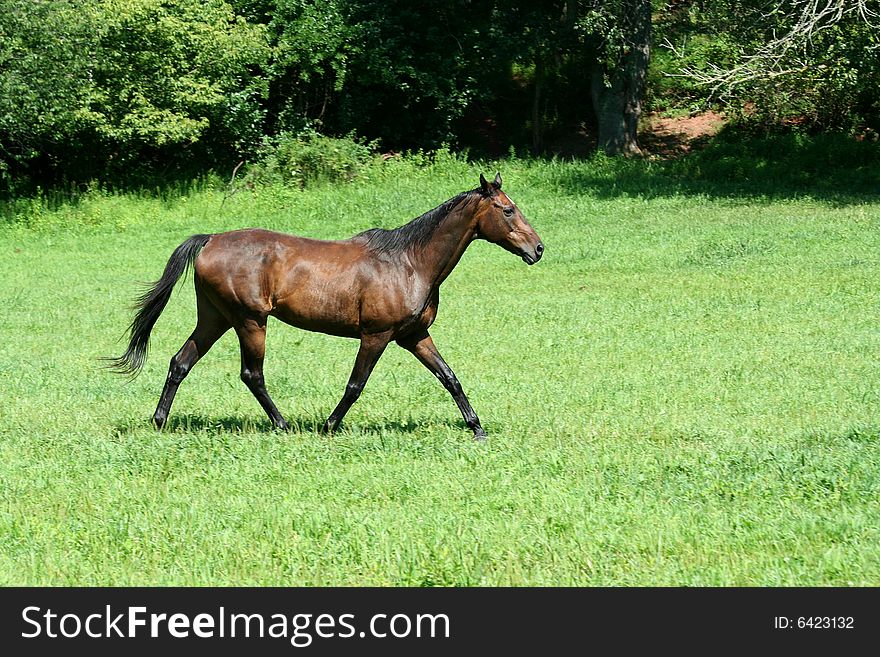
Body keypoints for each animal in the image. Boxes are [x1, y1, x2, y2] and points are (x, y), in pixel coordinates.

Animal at [110, 174, 544, 440]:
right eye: (508, 210)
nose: (538, 248)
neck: (409, 262)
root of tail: (211, 239)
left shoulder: (414, 335)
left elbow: (450, 377)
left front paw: (477, 428)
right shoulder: (376, 335)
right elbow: (355, 385)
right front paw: (329, 426)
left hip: (215, 318)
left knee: (180, 362)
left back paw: (159, 421)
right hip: (250, 321)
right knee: (252, 374)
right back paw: (283, 425)